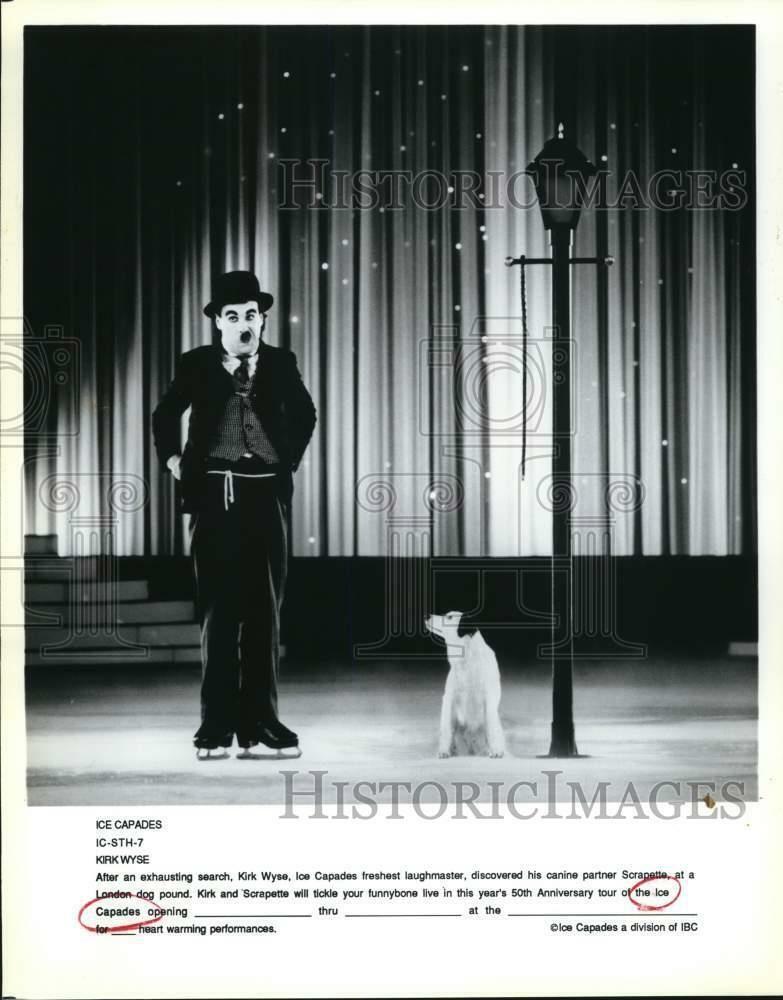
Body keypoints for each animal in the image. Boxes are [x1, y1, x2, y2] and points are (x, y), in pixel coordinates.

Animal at [426, 608, 506, 756]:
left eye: (450, 617)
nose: (427, 615)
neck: (467, 659)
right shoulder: (449, 698)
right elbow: (446, 729)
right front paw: (444, 751)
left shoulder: (489, 698)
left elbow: (491, 727)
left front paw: (495, 750)